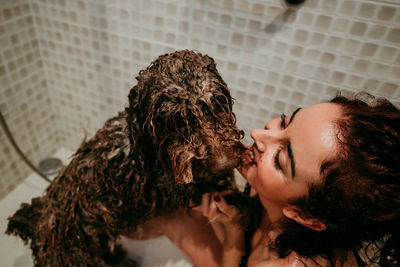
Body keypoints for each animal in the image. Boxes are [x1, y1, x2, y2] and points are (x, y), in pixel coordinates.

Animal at [6, 50, 245, 267]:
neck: (149, 152)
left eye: (219, 102)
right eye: (175, 120)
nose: (225, 165)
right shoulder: (172, 190)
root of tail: (38, 221)